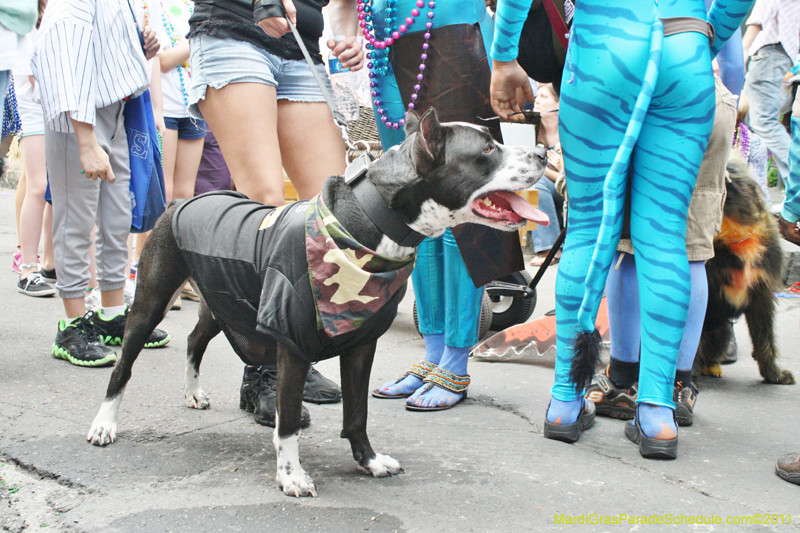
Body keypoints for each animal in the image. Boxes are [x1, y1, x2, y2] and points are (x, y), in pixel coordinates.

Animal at [89, 108, 552, 494]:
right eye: (487, 150)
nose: (543, 151)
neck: (371, 222)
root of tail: (183, 200)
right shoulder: (290, 345)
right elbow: (289, 420)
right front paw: (290, 475)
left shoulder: (362, 345)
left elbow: (357, 413)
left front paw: (368, 461)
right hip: (152, 302)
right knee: (124, 367)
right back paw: (104, 424)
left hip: (225, 302)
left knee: (194, 341)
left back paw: (192, 393)